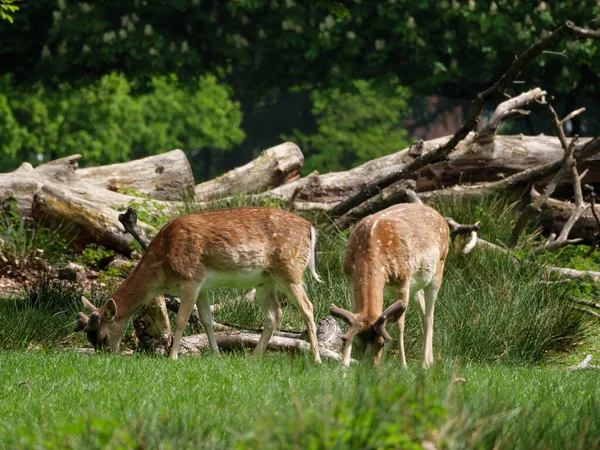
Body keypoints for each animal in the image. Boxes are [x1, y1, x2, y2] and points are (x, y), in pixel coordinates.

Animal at [75, 206, 324, 364]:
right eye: (90, 338)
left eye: (103, 337)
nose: (105, 356)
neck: (162, 270)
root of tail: (311, 229)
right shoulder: (203, 286)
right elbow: (207, 321)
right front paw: (217, 355)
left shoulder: (191, 278)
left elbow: (182, 319)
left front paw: (172, 357)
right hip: (265, 280)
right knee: (274, 314)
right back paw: (254, 357)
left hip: (289, 270)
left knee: (308, 307)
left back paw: (317, 359)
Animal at [328, 204, 450, 370]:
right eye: (359, 345)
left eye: (381, 343)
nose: (370, 366)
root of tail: (441, 217)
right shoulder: (350, 278)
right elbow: (353, 316)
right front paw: (344, 364)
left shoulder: (403, 280)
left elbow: (399, 325)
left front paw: (403, 365)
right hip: (415, 285)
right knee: (423, 309)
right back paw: (430, 360)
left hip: (438, 269)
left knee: (429, 316)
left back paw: (425, 363)